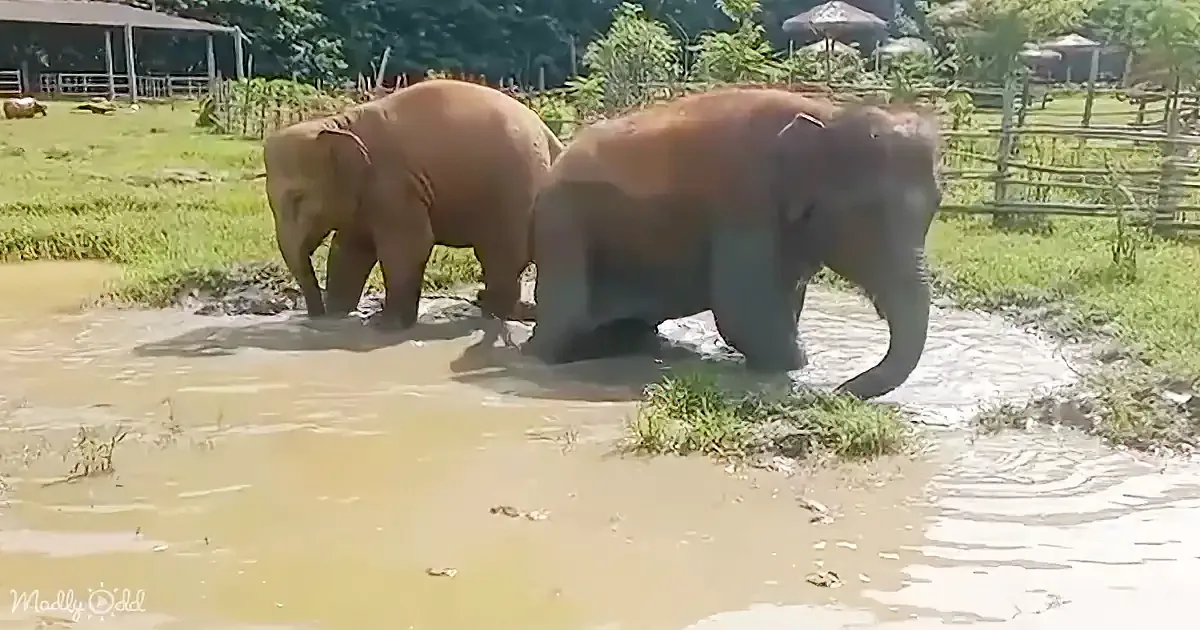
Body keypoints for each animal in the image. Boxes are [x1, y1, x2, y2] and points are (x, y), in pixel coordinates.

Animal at [262, 78, 563, 326]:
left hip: (515, 189)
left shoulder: (394, 183)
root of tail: (550, 135)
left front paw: (383, 323)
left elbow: (409, 245)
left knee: (502, 254)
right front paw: (339, 313)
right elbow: (350, 248)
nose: (314, 316)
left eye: (298, 199)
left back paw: (491, 308)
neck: (338, 123)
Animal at [520, 87, 941, 400]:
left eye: (937, 205)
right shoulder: (745, 201)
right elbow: (747, 316)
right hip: (562, 225)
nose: (837, 391)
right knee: (562, 326)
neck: (829, 114)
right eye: (867, 212)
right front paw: (795, 370)